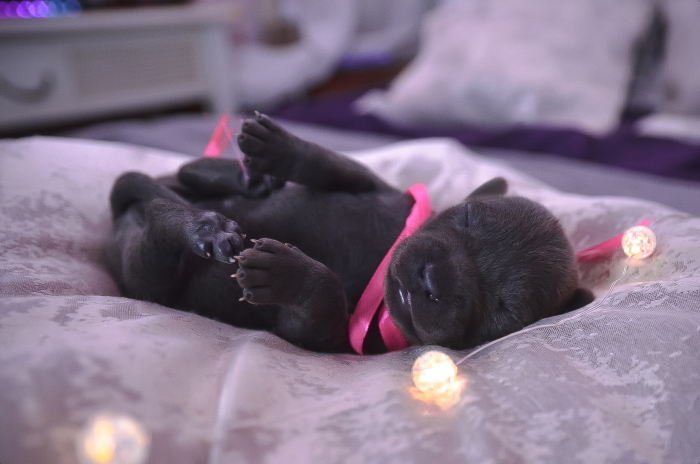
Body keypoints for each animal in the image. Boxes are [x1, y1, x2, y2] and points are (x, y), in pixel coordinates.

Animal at [106, 113, 593, 353]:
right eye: (468, 215)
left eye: (504, 310)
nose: (431, 278)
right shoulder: (382, 192)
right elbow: (334, 165)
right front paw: (280, 148)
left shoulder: (323, 337)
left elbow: (323, 299)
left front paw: (287, 274)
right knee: (185, 175)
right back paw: (234, 184)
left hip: (147, 274)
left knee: (158, 224)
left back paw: (202, 227)